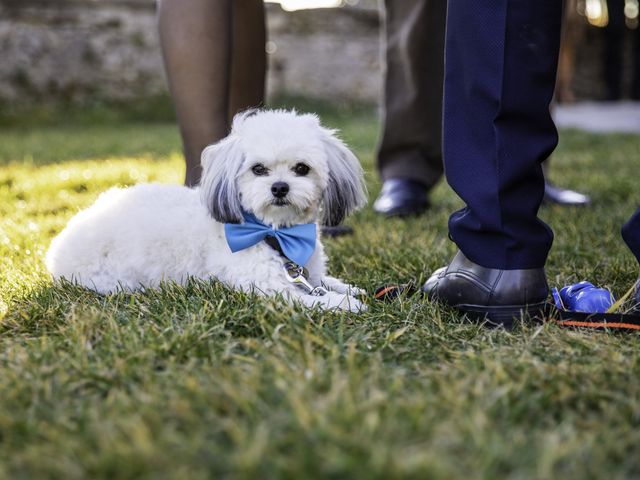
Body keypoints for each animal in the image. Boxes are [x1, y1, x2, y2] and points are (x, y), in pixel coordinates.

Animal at [45, 109, 368, 312]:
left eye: (302, 168)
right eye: (258, 169)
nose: (279, 187)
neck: (274, 234)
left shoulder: (309, 272)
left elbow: (324, 282)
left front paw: (349, 290)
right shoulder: (268, 287)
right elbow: (309, 299)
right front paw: (342, 304)